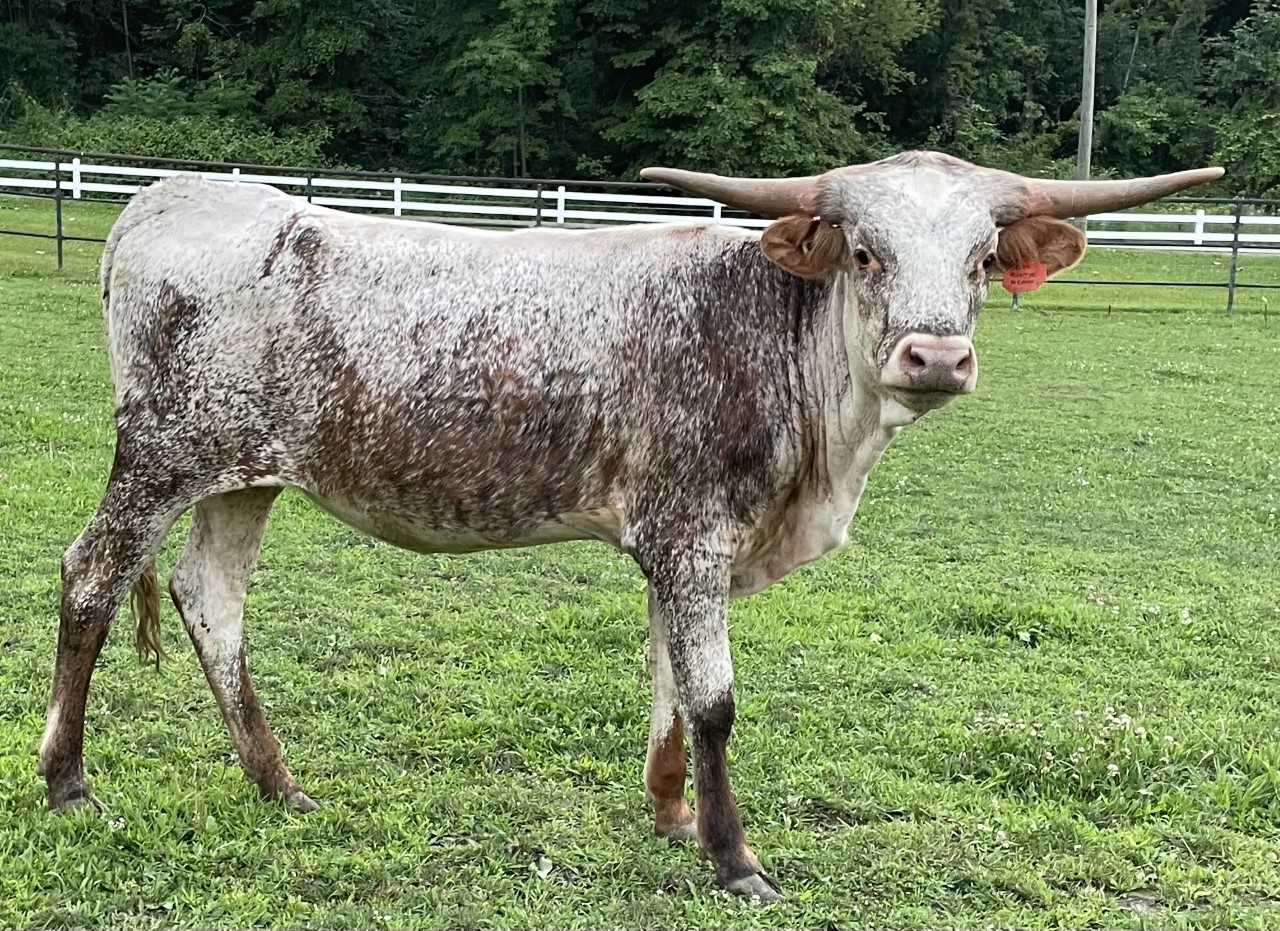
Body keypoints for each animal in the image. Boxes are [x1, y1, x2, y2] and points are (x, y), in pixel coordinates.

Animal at [39, 151, 1220, 902]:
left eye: (980, 258)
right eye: (863, 253)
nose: (935, 357)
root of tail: (172, 197)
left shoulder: (676, 544)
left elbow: (664, 677)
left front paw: (670, 816)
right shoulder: (692, 534)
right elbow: (714, 698)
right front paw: (735, 859)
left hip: (245, 475)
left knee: (212, 601)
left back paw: (278, 784)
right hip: (160, 455)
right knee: (90, 575)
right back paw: (68, 782)